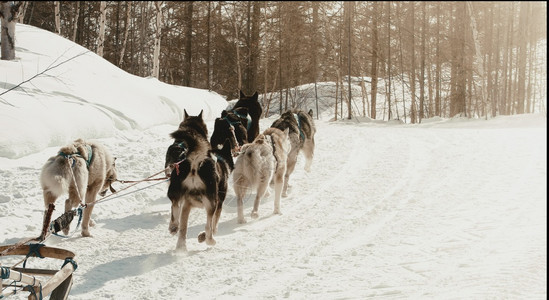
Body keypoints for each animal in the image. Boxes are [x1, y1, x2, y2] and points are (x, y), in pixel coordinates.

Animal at [165, 109, 220, 251]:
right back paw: (211, 241)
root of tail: (194, 160)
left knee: (175, 207)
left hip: (175, 189)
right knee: (208, 226)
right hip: (212, 201)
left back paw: (174, 227)